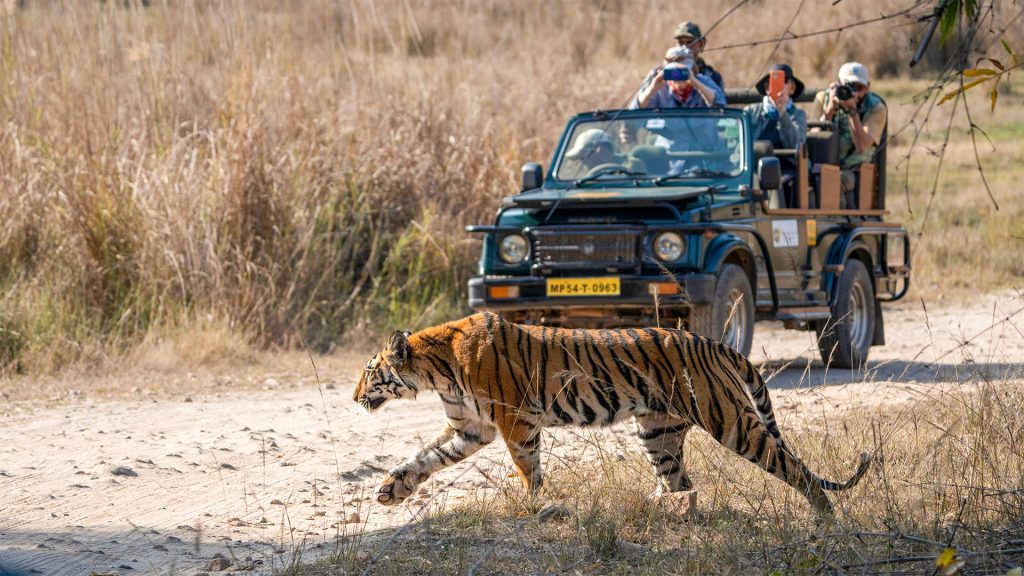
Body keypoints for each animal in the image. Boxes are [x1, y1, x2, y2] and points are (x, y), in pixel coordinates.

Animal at [354, 311, 872, 512]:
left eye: (370, 370)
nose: (355, 397)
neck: (436, 371)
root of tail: (715, 344)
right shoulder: (471, 428)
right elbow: (424, 457)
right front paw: (391, 489)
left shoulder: (514, 420)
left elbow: (526, 466)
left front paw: (533, 504)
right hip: (658, 431)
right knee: (680, 482)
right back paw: (662, 512)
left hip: (731, 421)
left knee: (792, 465)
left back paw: (824, 518)